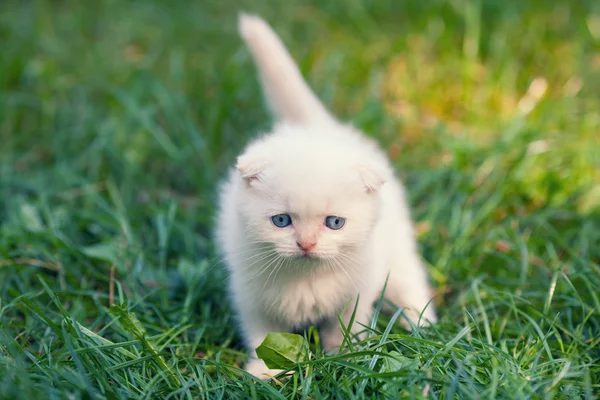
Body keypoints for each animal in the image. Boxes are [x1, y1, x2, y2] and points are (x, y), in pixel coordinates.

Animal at [216, 14, 436, 378]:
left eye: (334, 223)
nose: (306, 244)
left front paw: (343, 359)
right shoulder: (251, 295)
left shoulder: (355, 293)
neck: (307, 279)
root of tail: (320, 127)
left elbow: (343, 329)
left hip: (396, 249)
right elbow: (264, 335)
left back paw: (423, 325)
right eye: (281, 220)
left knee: (409, 281)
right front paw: (264, 372)